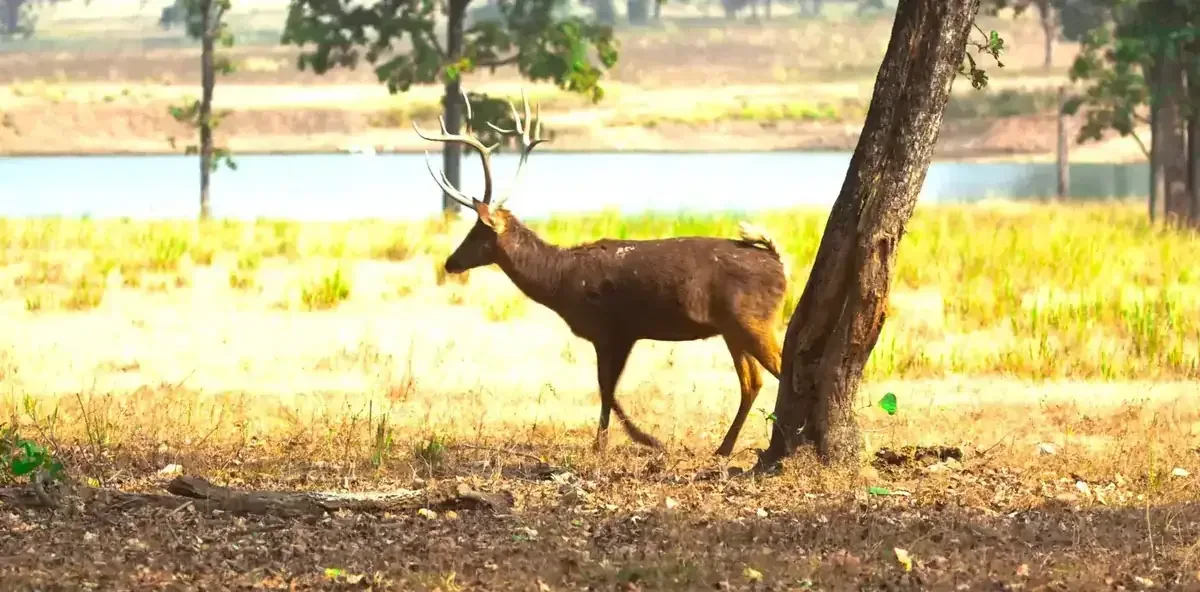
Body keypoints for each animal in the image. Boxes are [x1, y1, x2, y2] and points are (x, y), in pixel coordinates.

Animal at [413, 88, 787, 457]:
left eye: (477, 233)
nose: (450, 262)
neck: (560, 282)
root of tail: (779, 262)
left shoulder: (611, 328)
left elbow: (606, 388)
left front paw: (636, 440)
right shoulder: (617, 333)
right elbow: (607, 388)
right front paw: (612, 441)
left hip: (751, 320)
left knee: (781, 371)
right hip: (731, 328)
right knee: (752, 382)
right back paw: (724, 448)